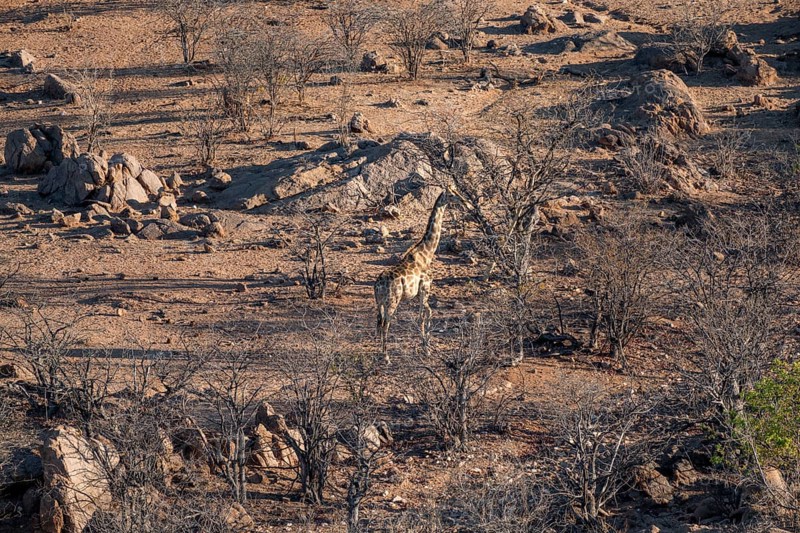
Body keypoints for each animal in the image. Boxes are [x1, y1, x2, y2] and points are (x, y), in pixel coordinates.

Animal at [374, 190, 449, 360]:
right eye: (452, 192)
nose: (461, 199)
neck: (427, 253)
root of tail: (378, 285)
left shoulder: (420, 291)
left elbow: (428, 312)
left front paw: (427, 344)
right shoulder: (425, 287)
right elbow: (422, 315)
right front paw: (426, 348)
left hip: (379, 302)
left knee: (379, 321)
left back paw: (380, 351)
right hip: (392, 301)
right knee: (386, 323)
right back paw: (386, 356)